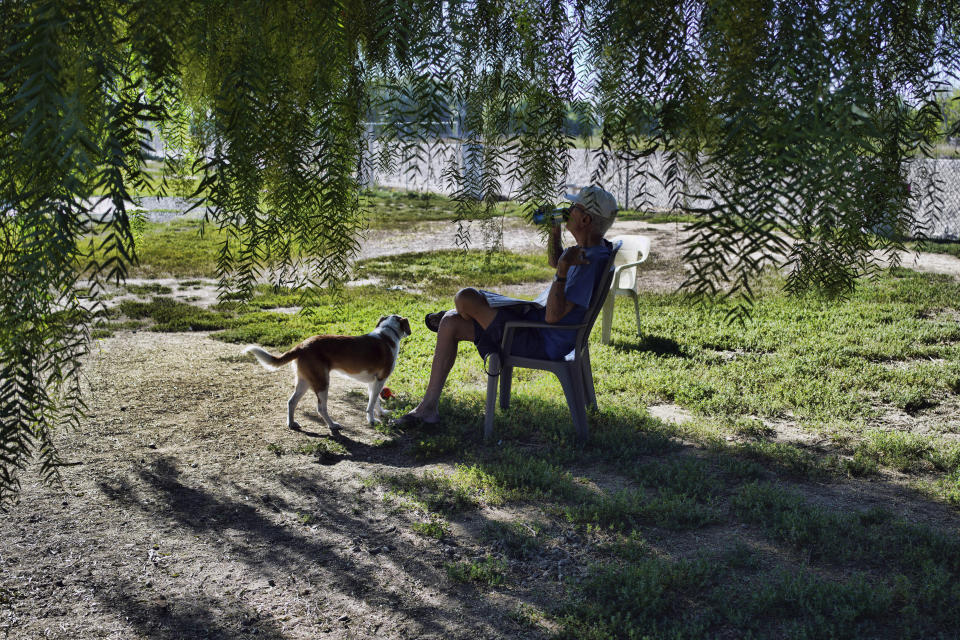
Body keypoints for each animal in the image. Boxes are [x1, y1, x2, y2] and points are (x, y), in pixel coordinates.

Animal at [244, 314, 408, 432]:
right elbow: (372, 403)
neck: (387, 333)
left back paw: (291, 423)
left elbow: (375, 401)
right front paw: (372, 420)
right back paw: (332, 425)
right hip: (322, 383)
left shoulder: (373, 382)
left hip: (305, 382)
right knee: (321, 408)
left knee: (291, 402)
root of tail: (301, 345)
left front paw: (381, 413)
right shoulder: (380, 379)